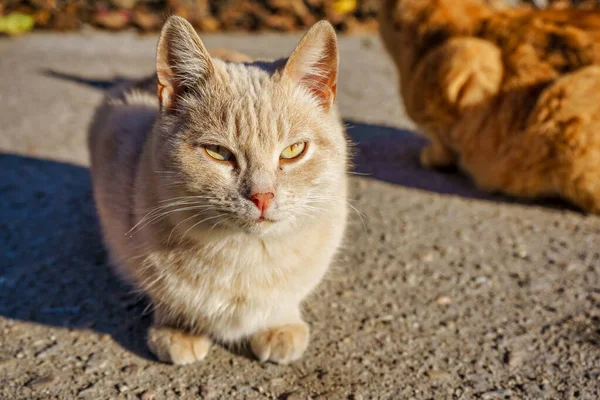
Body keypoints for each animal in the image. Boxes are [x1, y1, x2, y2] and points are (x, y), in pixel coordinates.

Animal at [89, 17, 352, 364]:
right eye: (217, 152)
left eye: (293, 150)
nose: (262, 196)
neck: (245, 257)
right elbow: (167, 294)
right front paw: (179, 329)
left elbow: (287, 297)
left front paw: (278, 325)